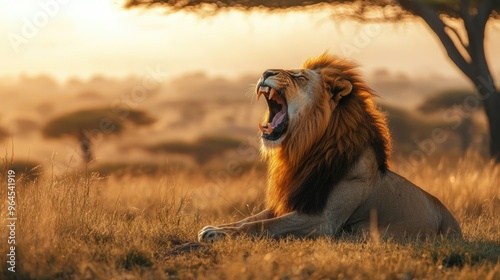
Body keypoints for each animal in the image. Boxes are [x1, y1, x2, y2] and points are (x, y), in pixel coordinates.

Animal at [197, 53, 462, 242]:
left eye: (300, 77)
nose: (266, 72)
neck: (305, 151)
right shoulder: (294, 200)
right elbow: (248, 219)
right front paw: (216, 227)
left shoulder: (324, 220)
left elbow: (264, 225)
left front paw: (219, 234)